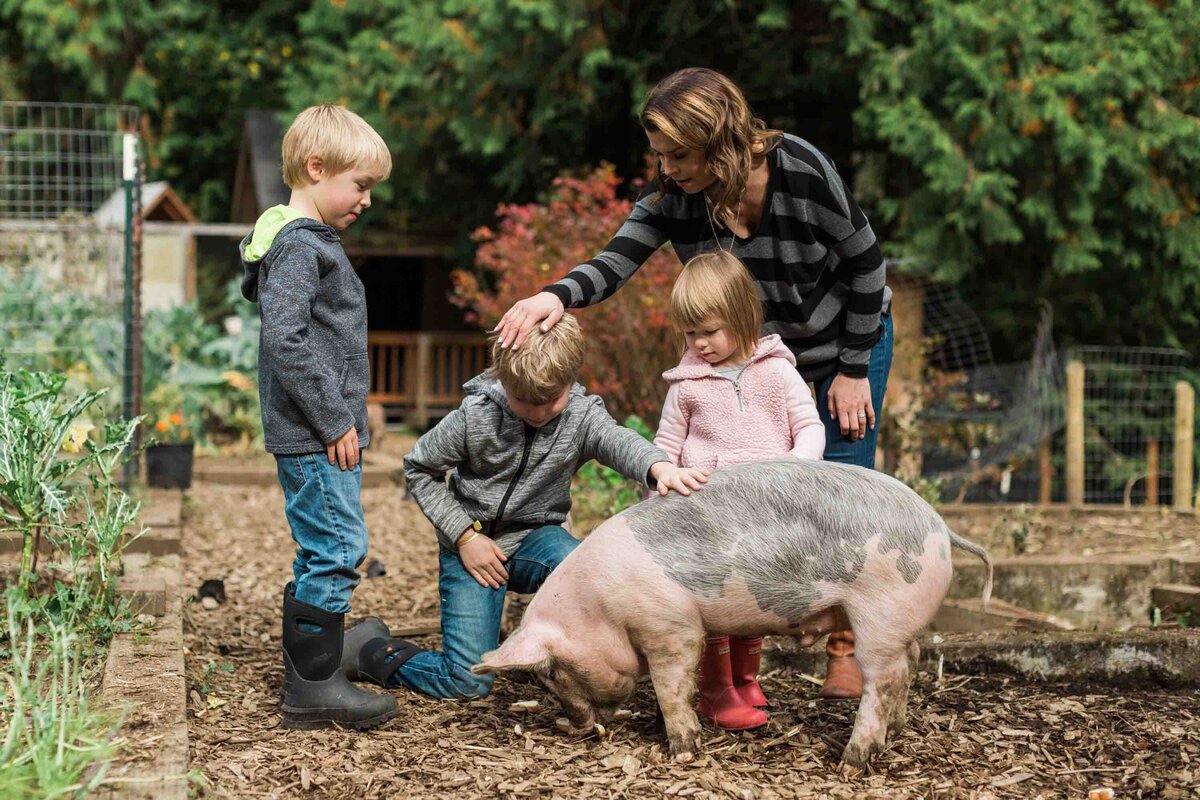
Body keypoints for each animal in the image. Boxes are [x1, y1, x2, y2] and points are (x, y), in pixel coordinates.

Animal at [472, 458, 992, 769]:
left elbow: (671, 685)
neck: (599, 605)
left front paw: (683, 751)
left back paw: (851, 761)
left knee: (882, 681)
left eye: (551, 673)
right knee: (912, 662)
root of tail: (939, 525)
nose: (580, 728)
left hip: (880, 612)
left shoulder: (670, 625)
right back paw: (895, 732)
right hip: (901, 623)